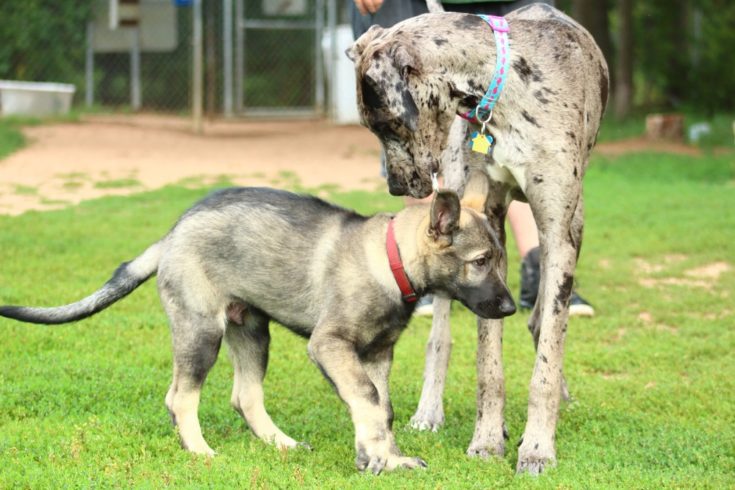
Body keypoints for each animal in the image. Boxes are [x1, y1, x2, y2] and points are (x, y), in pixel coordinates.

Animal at [0, 184, 516, 474]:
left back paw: (280, 444)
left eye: (499, 260)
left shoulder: (376, 354)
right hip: (202, 332)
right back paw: (199, 451)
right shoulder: (330, 345)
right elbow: (368, 401)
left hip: (251, 330)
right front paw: (381, 460)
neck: (390, 259)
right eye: (480, 262)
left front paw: (381, 456)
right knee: (180, 397)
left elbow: (381, 409)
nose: (511, 308)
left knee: (243, 396)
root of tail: (172, 233)